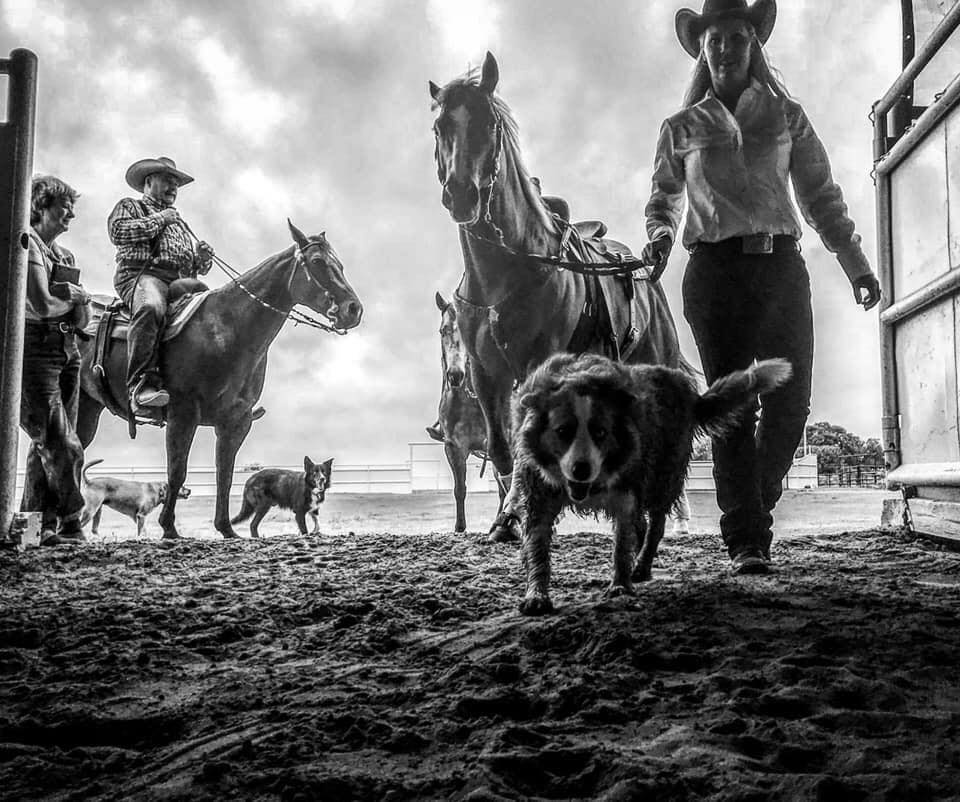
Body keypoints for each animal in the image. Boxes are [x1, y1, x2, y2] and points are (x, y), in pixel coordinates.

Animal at [75, 220, 363, 540]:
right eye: (317, 262)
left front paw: (226, 528)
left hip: (88, 408)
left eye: (340, 264)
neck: (226, 327)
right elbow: (177, 471)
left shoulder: (236, 421)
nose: (353, 309)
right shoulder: (183, 413)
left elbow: (224, 473)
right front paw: (169, 527)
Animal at [511, 352, 792, 615]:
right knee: (643, 525)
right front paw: (537, 594)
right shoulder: (539, 494)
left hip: (664, 477)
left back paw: (642, 566)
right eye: (563, 431)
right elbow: (538, 546)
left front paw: (620, 585)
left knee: (655, 525)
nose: (582, 469)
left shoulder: (628, 490)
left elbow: (621, 545)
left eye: (600, 432)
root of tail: (689, 393)